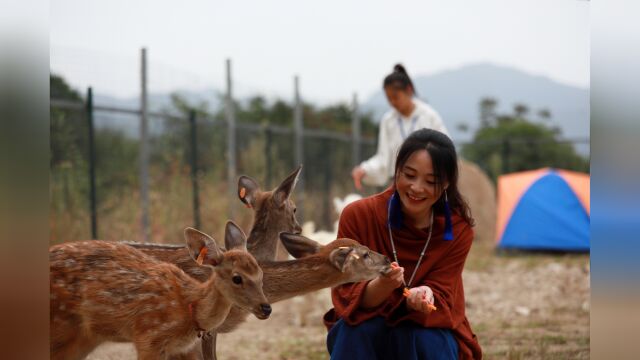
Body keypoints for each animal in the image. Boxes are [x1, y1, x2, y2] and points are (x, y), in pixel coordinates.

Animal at [50, 219, 268, 360]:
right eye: (237, 278)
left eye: (261, 273)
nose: (266, 308)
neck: (190, 306)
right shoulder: (149, 337)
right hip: (61, 325)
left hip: (84, 338)